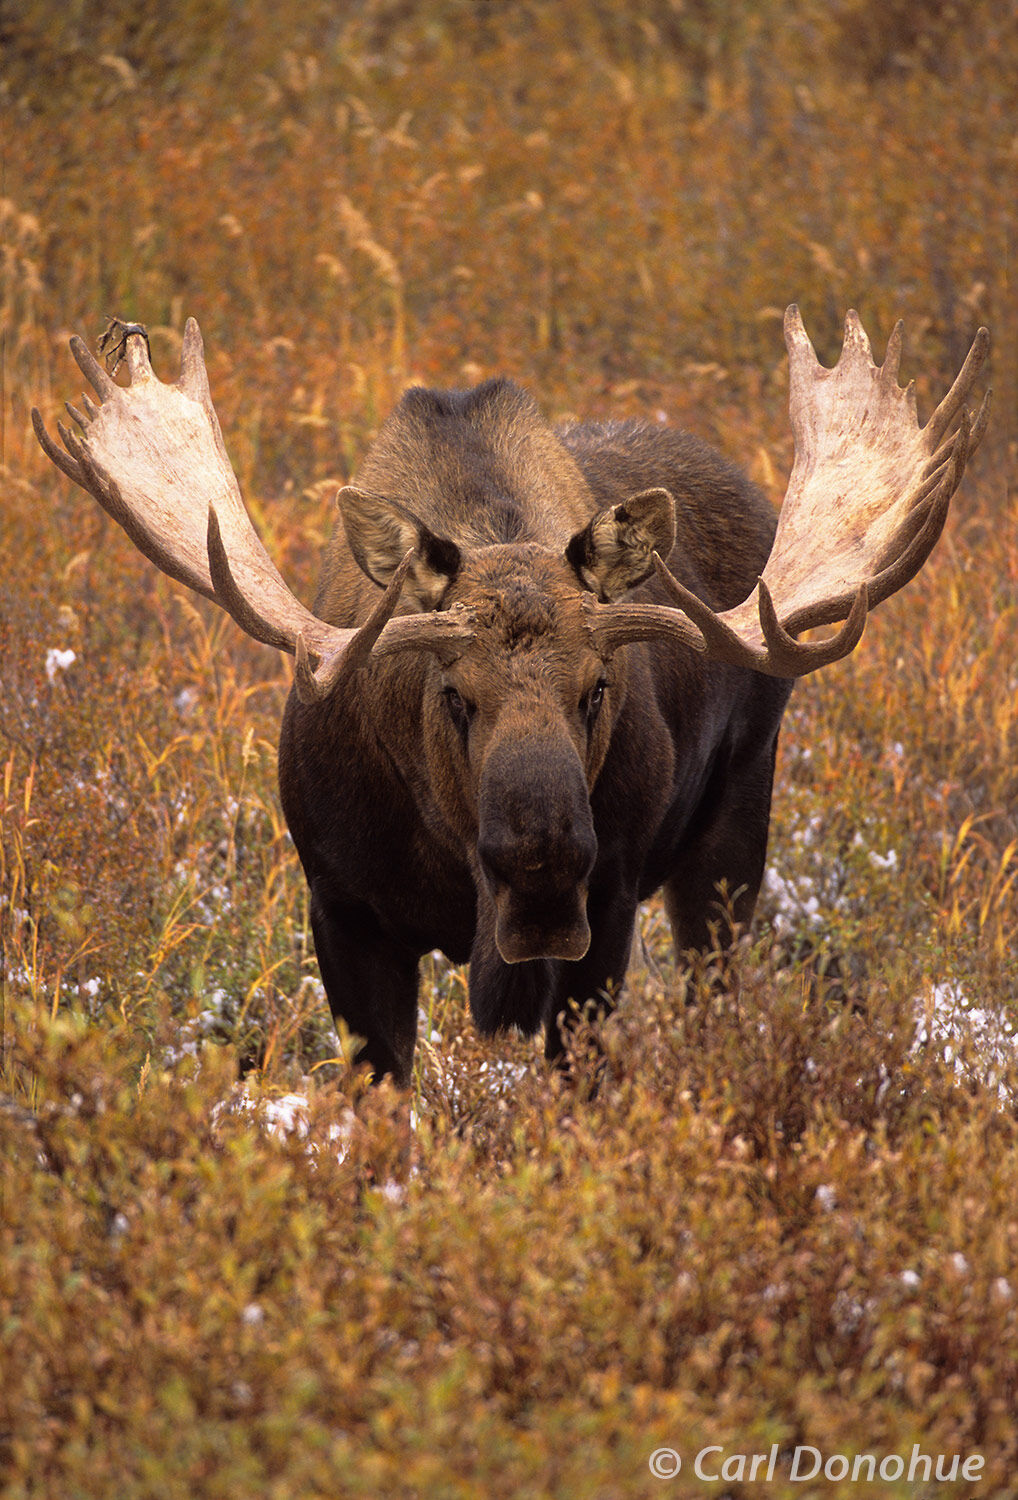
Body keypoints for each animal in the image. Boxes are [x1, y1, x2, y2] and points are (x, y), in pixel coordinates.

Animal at [33, 310, 989, 1086]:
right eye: (453, 692)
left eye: (598, 686)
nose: (543, 862)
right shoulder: (342, 911)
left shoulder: (608, 910)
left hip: (733, 834)